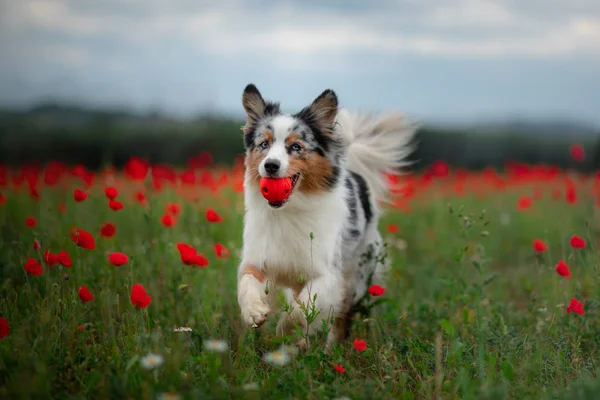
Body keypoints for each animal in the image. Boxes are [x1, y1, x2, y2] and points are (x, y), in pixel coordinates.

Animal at [236, 83, 418, 350]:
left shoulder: (328, 275)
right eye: (264, 144)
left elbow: (302, 310)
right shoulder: (260, 258)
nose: (270, 165)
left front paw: (286, 331)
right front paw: (254, 312)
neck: (288, 210)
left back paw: (331, 350)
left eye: (296, 147)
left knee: (342, 319)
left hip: (357, 277)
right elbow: (247, 282)